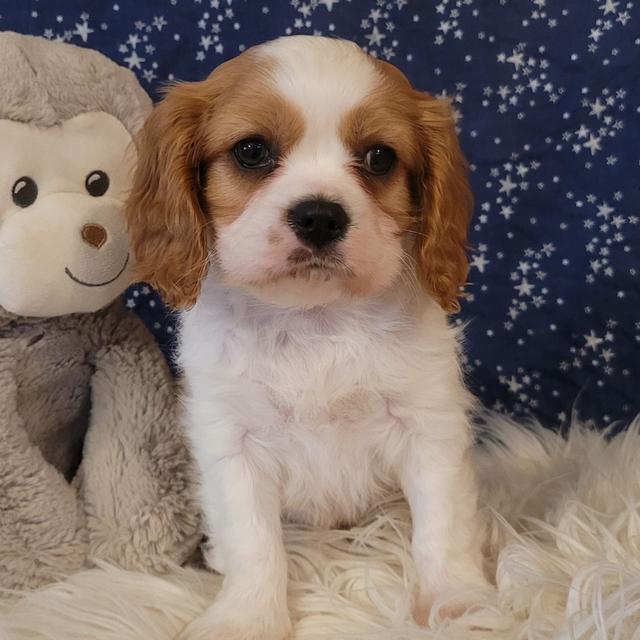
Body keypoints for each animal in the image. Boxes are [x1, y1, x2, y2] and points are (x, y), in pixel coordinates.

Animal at [127, 36, 492, 640]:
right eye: (252, 151)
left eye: (379, 158)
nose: (320, 216)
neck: (313, 320)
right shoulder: (232, 443)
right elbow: (253, 543)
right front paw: (245, 617)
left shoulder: (428, 426)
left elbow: (442, 525)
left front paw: (458, 602)